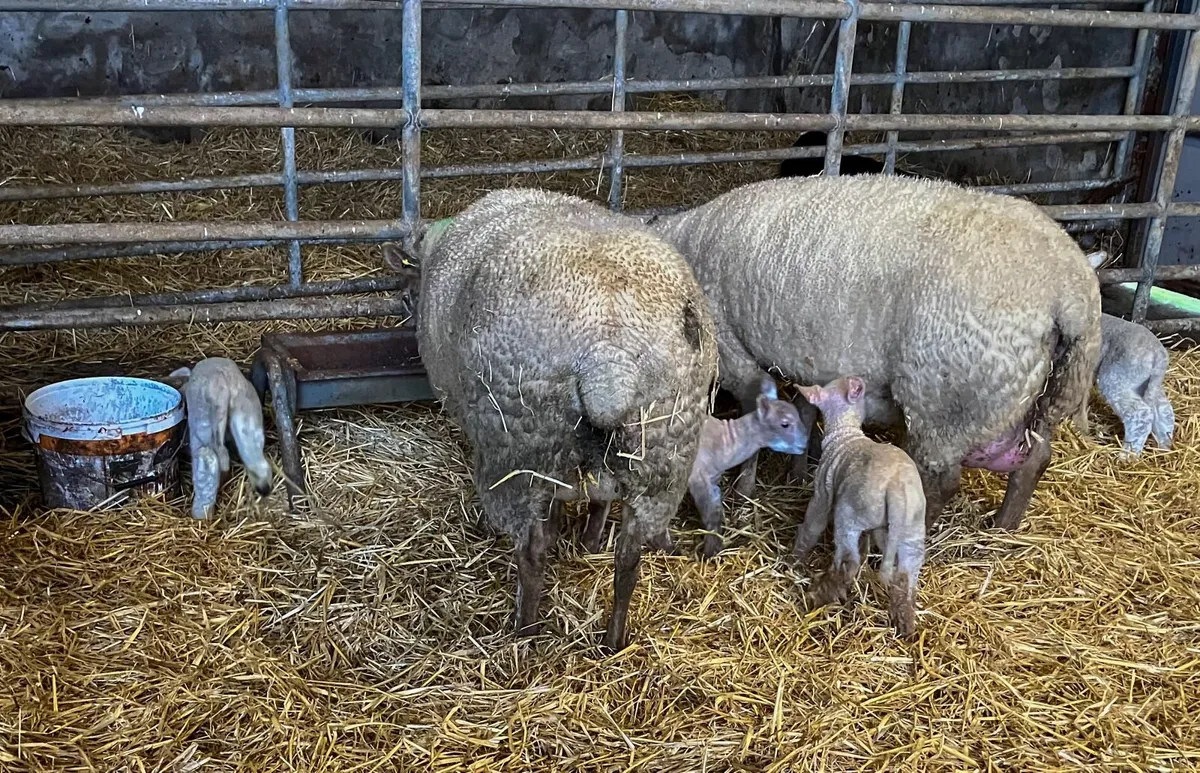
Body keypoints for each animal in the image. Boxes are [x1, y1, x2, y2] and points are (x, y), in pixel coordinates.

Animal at [167, 357, 273, 520]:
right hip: (247, 415)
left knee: (210, 458)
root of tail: (223, 380)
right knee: (254, 457)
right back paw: (263, 487)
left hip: (203, 421)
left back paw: (201, 513)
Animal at [390, 188, 717, 652]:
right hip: (661, 452)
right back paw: (613, 639)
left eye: (406, 290)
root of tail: (607, 356)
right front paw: (584, 537)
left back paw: (524, 633)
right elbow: (593, 497)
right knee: (628, 558)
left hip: (521, 445)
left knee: (531, 550)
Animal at [579, 374, 808, 560]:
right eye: (785, 424)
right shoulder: (699, 478)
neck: (728, 441)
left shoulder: (712, 478)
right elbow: (710, 513)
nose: (805, 443)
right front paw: (711, 551)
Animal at [650, 174, 1101, 533]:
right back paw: (1003, 530)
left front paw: (745, 485)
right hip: (1032, 400)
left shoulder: (731, 351)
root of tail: (1070, 294)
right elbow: (803, 408)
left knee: (940, 480)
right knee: (1036, 459)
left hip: (944, 397)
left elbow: (756, 408)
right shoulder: (806, 365)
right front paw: (796, 470)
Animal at [792, 376, 926, 639]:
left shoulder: (822, 493)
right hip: (912, 527)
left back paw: (817, 596)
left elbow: (812, 526)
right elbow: (865, 546)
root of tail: (896, 487)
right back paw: (904, 624)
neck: (844, 432)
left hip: (849, 514)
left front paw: (793, 558)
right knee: (906, 576)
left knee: (848, 562)